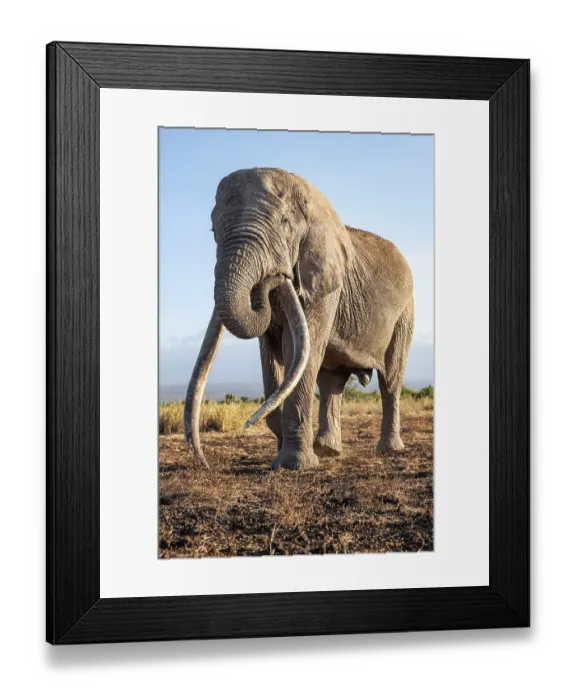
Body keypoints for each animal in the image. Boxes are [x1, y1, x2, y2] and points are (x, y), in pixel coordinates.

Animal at [184, 167, 414, 470]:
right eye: (214, 231)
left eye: (284, 223)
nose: (274, 276)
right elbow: (270, 358)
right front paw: (282, 452)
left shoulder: (325, 284)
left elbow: (296, 349)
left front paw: (295, 464)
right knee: (332, 380)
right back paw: (328, 450)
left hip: (404, 314)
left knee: (390, 380)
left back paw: (388, 449)